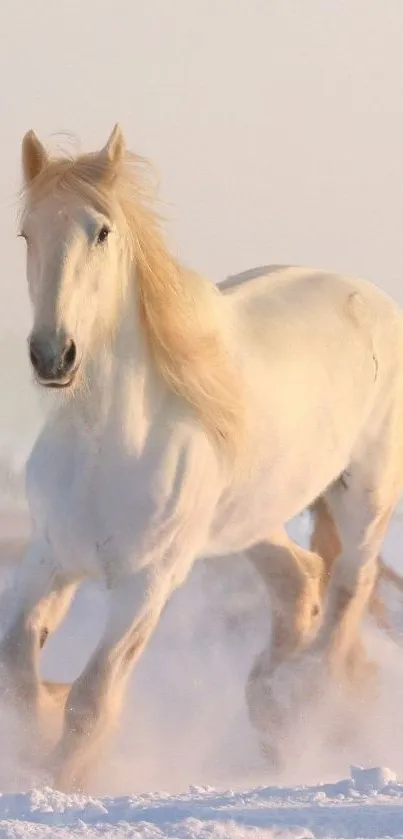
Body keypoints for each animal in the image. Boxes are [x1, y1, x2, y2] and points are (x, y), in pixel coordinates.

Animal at [4, 121, 403, 792]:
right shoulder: (50, 559)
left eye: (101, 231)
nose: (53, 355)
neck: (105, 446)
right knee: (301, 580)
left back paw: (306, 705)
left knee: (350, 586)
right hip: (252, 518)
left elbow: (92, 698)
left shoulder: (148, 583)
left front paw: (62, 780)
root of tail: (372, 296)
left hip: (364, 497)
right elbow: (18, 669)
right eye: (27, 233)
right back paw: (269, 709)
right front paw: (37, 744)